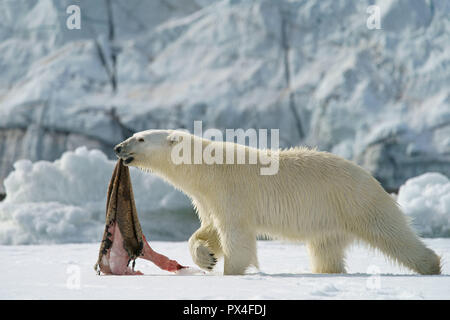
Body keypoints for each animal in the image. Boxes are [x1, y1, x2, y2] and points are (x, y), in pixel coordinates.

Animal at [114, 129, 442, 276]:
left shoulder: (231, 191)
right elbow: (209, 229)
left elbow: (236, 235)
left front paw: (230, 271)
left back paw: (432, 265)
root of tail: (370, 176)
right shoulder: (207, 197)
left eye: (140, 138)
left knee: (391, 233)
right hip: (329, 222)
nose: (118, 147)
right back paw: (327, 272)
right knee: (326, 251)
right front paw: (207, 257)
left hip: (355, 200)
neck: (206, 168)